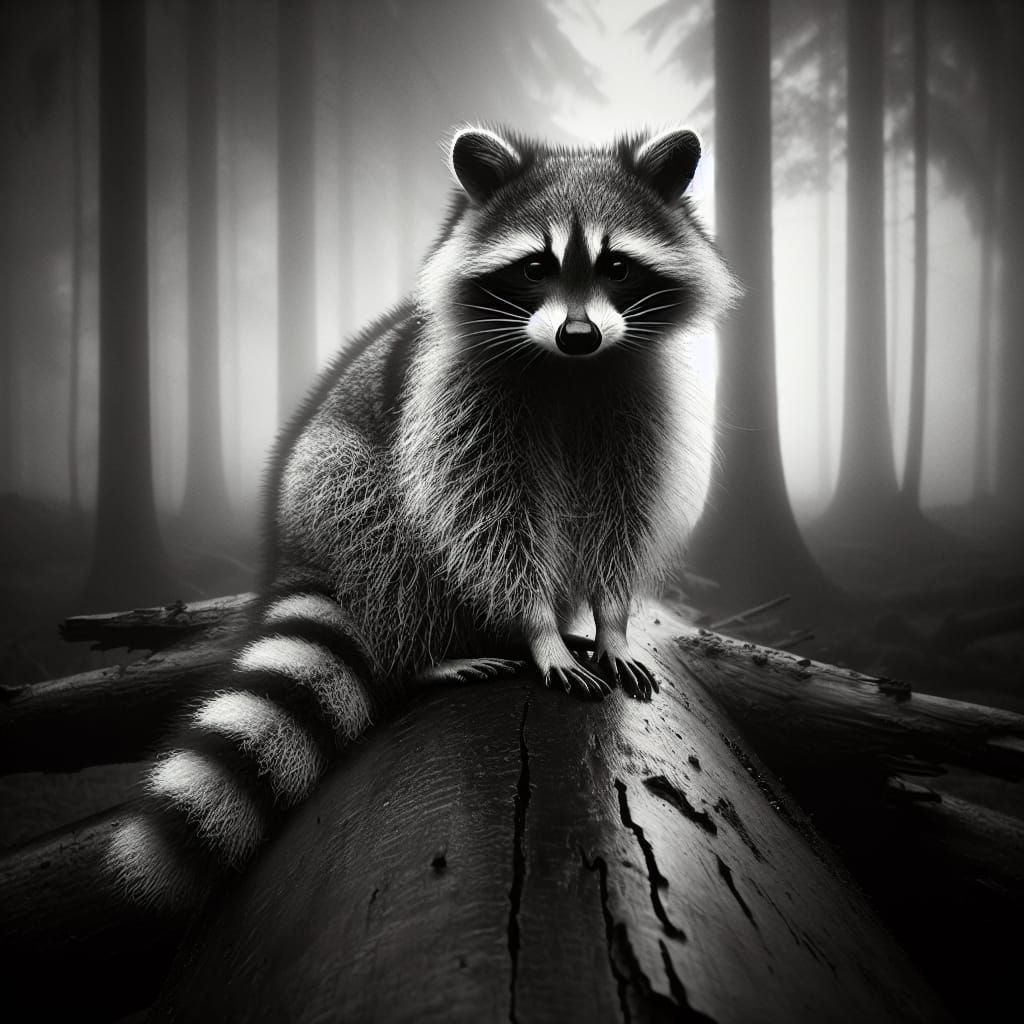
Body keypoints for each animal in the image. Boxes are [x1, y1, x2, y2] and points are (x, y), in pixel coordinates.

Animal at [108, 126, 738, 909]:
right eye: (536, 266)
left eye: (617, 266)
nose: (579, 334)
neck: (569, 370)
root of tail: (290, 543)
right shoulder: (457, 403)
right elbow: (483, 522)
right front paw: (535, 626)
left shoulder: (633, 398)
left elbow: (620, 517)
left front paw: (611, 619)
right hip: (334, 483)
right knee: (393, 538)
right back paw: (424, 658)